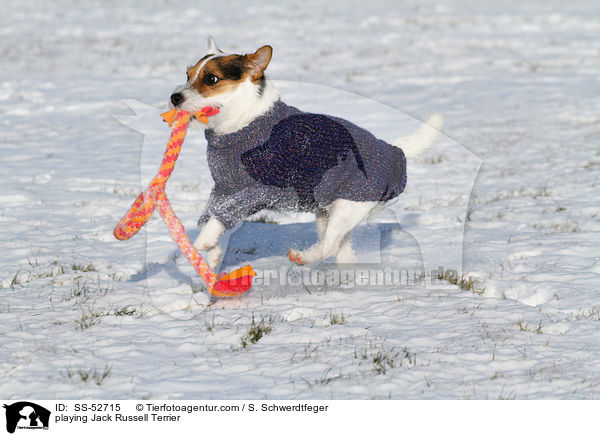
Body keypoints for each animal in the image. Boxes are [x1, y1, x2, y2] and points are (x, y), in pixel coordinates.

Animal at [169, 37, 440, 270]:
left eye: (211, 79)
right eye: (188, 74)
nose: (174, 97)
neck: (244, 123)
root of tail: (396, 153)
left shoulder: (261, 190)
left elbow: (222, 214)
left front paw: (202, 241)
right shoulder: (223, 189)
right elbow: (212, 213)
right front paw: (213, 253)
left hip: (349, 204)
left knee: (330, 244)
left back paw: (303, 257)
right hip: (326, 212)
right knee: (340, 247)